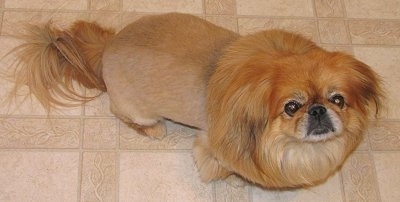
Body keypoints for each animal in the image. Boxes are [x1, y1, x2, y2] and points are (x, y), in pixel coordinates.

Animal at [10, 13, 384, 189]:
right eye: (291, 107)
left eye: (338, 100)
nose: (319, 109)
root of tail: (108, 46)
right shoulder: (212, 144)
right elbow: (217, 165)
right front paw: (228, 177)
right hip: (139, 112)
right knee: (124, 115)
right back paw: (156, 131)